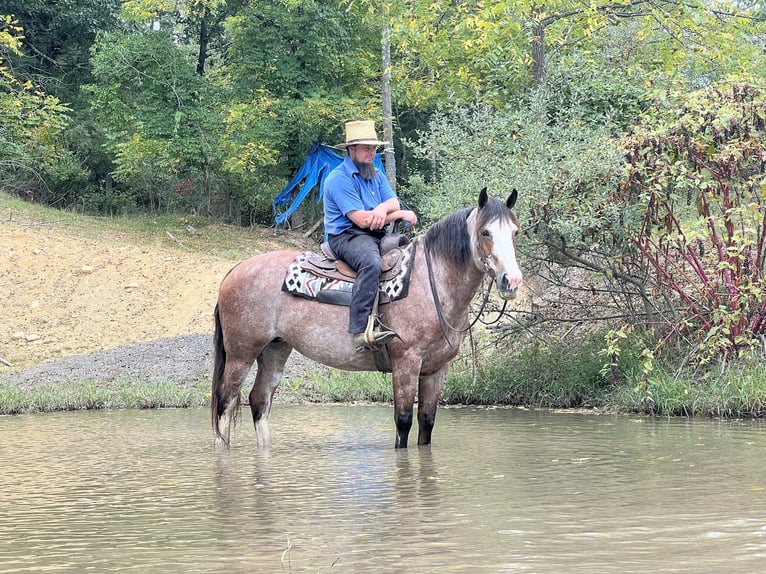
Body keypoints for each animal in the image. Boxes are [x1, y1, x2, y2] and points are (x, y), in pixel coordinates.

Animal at [212, 189, 520, 450]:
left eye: (515, 232)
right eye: (485, 232)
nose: (512, 281)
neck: (431, 284)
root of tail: (236, 269)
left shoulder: (436, 369)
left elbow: (427, 422)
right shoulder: (406, 362)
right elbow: (403, 421)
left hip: (275, 349)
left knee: (259, 401)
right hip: (241, 353)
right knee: (225, 402)